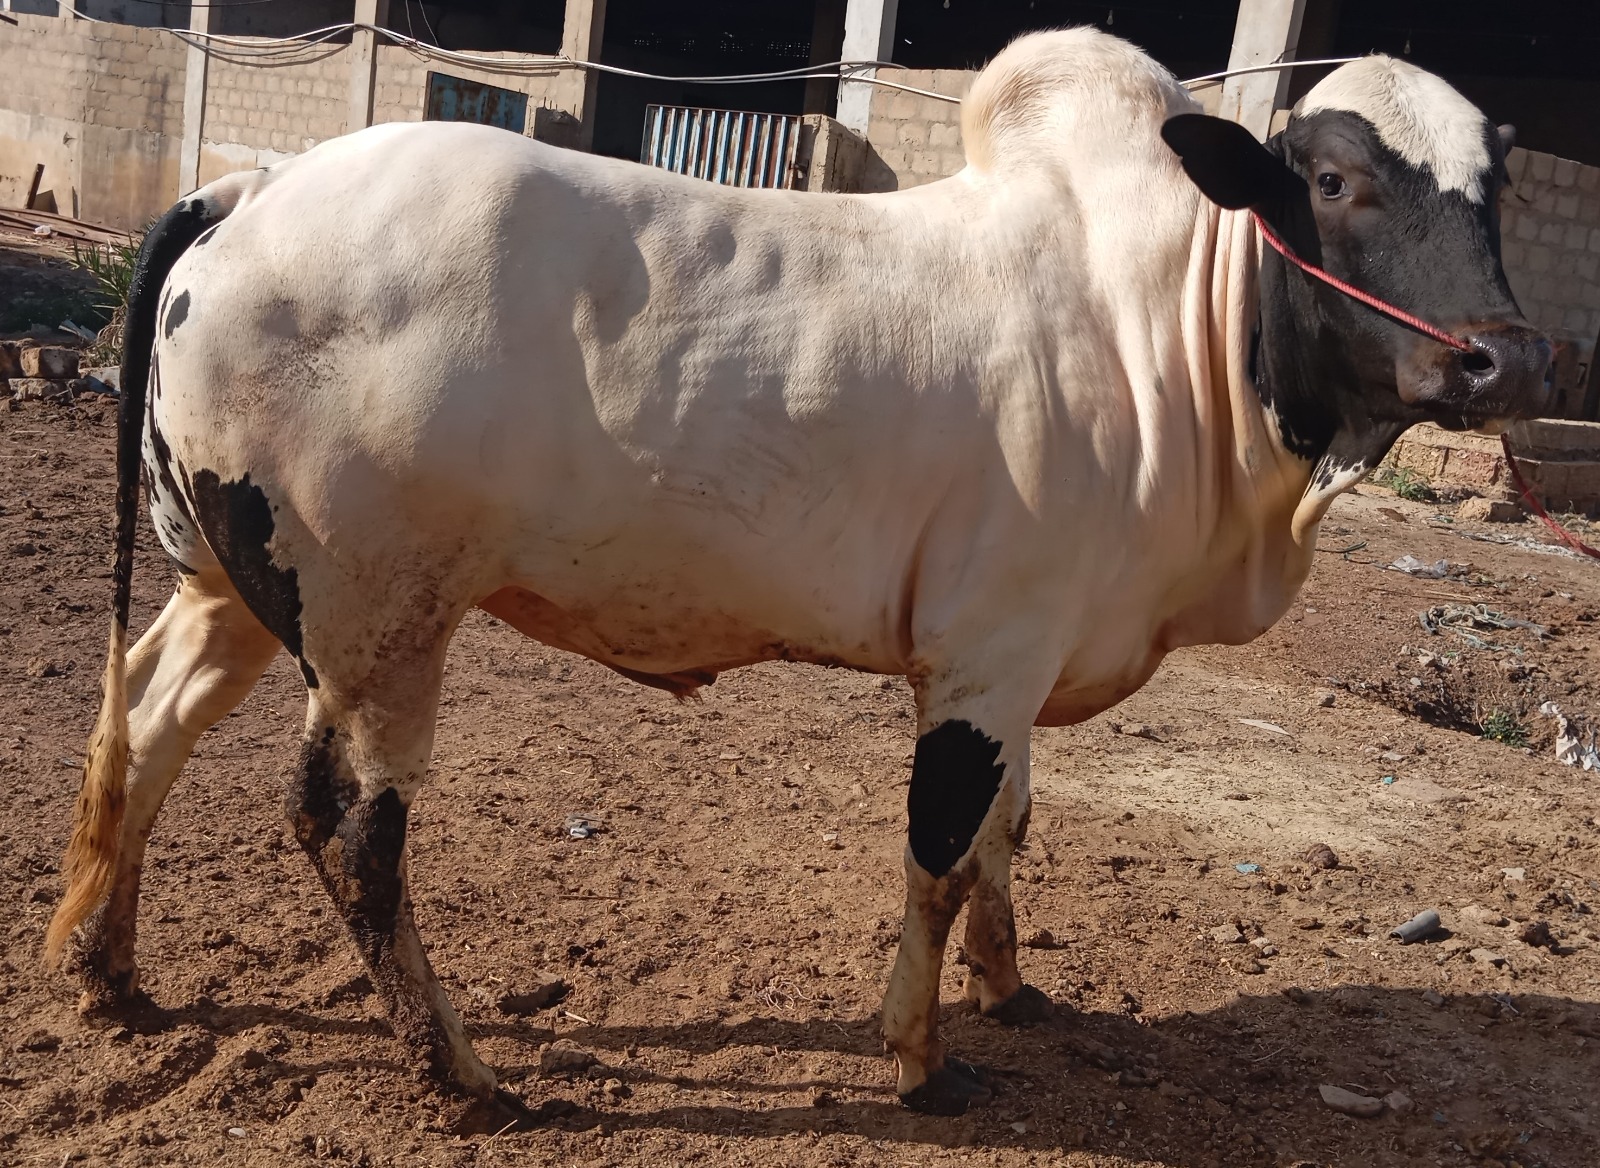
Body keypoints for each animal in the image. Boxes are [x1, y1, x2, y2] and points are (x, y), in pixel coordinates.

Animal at [47, 27, 1549, 1126]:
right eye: (1338, 183)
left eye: (1497, 190)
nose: (1508, 360)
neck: (1174, 330)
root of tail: (252, 189)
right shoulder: (981, 661)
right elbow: (941, 854)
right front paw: (921, 1056)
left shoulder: (1022, 653)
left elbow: (1007, 831)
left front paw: (1009, 985)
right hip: (379, 623)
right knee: (352, 833)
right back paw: (464, 1074)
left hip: (236, 585)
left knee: (147, 719)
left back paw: (103, 964)